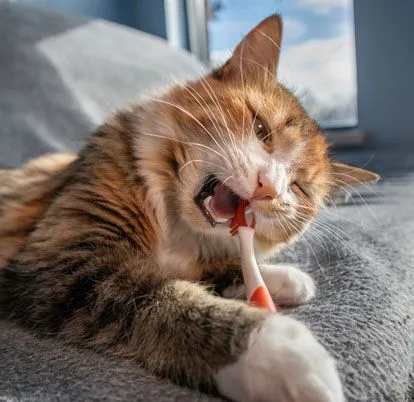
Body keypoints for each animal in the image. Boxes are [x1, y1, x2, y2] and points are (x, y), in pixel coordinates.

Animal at [0, 14, 378, 402]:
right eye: (261, 130)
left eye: (297, 188)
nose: (270, 188)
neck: (176, 225)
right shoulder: (72, 261)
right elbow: (172, 300)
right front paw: (279, 351)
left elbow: (218, 270)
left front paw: (283, 279)